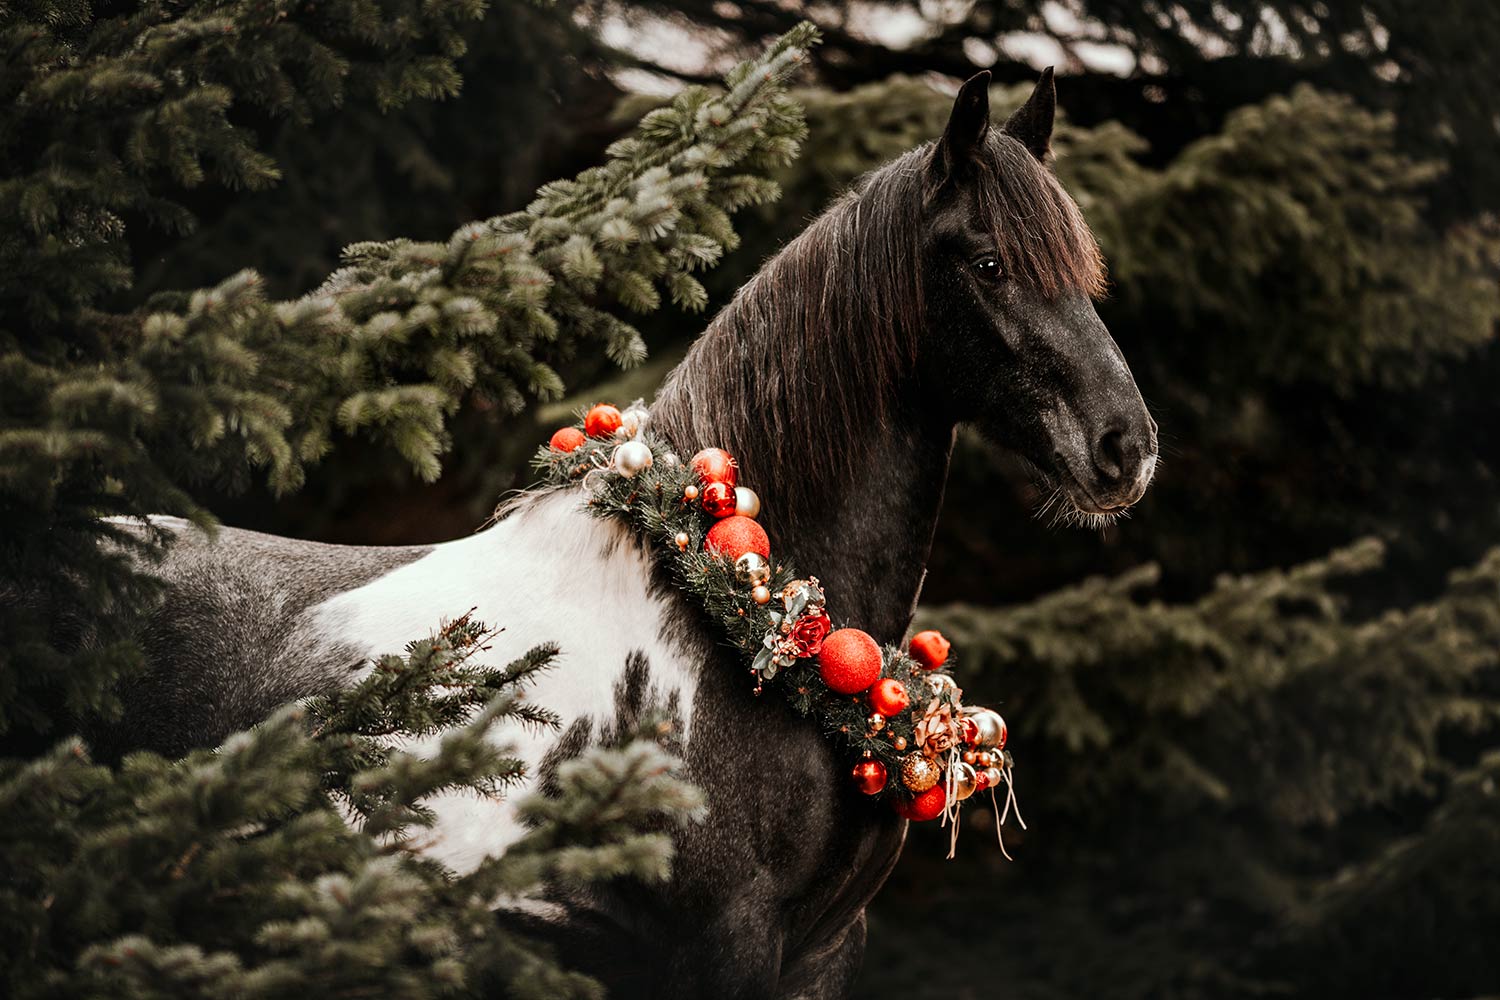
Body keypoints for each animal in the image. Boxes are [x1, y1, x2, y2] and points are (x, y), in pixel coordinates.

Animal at [97, 70, 1157, 998]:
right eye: (990, 264)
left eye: (1083, 274)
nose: (1127, 449)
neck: (738, 626)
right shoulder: (721, 949)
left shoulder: (820, 955)